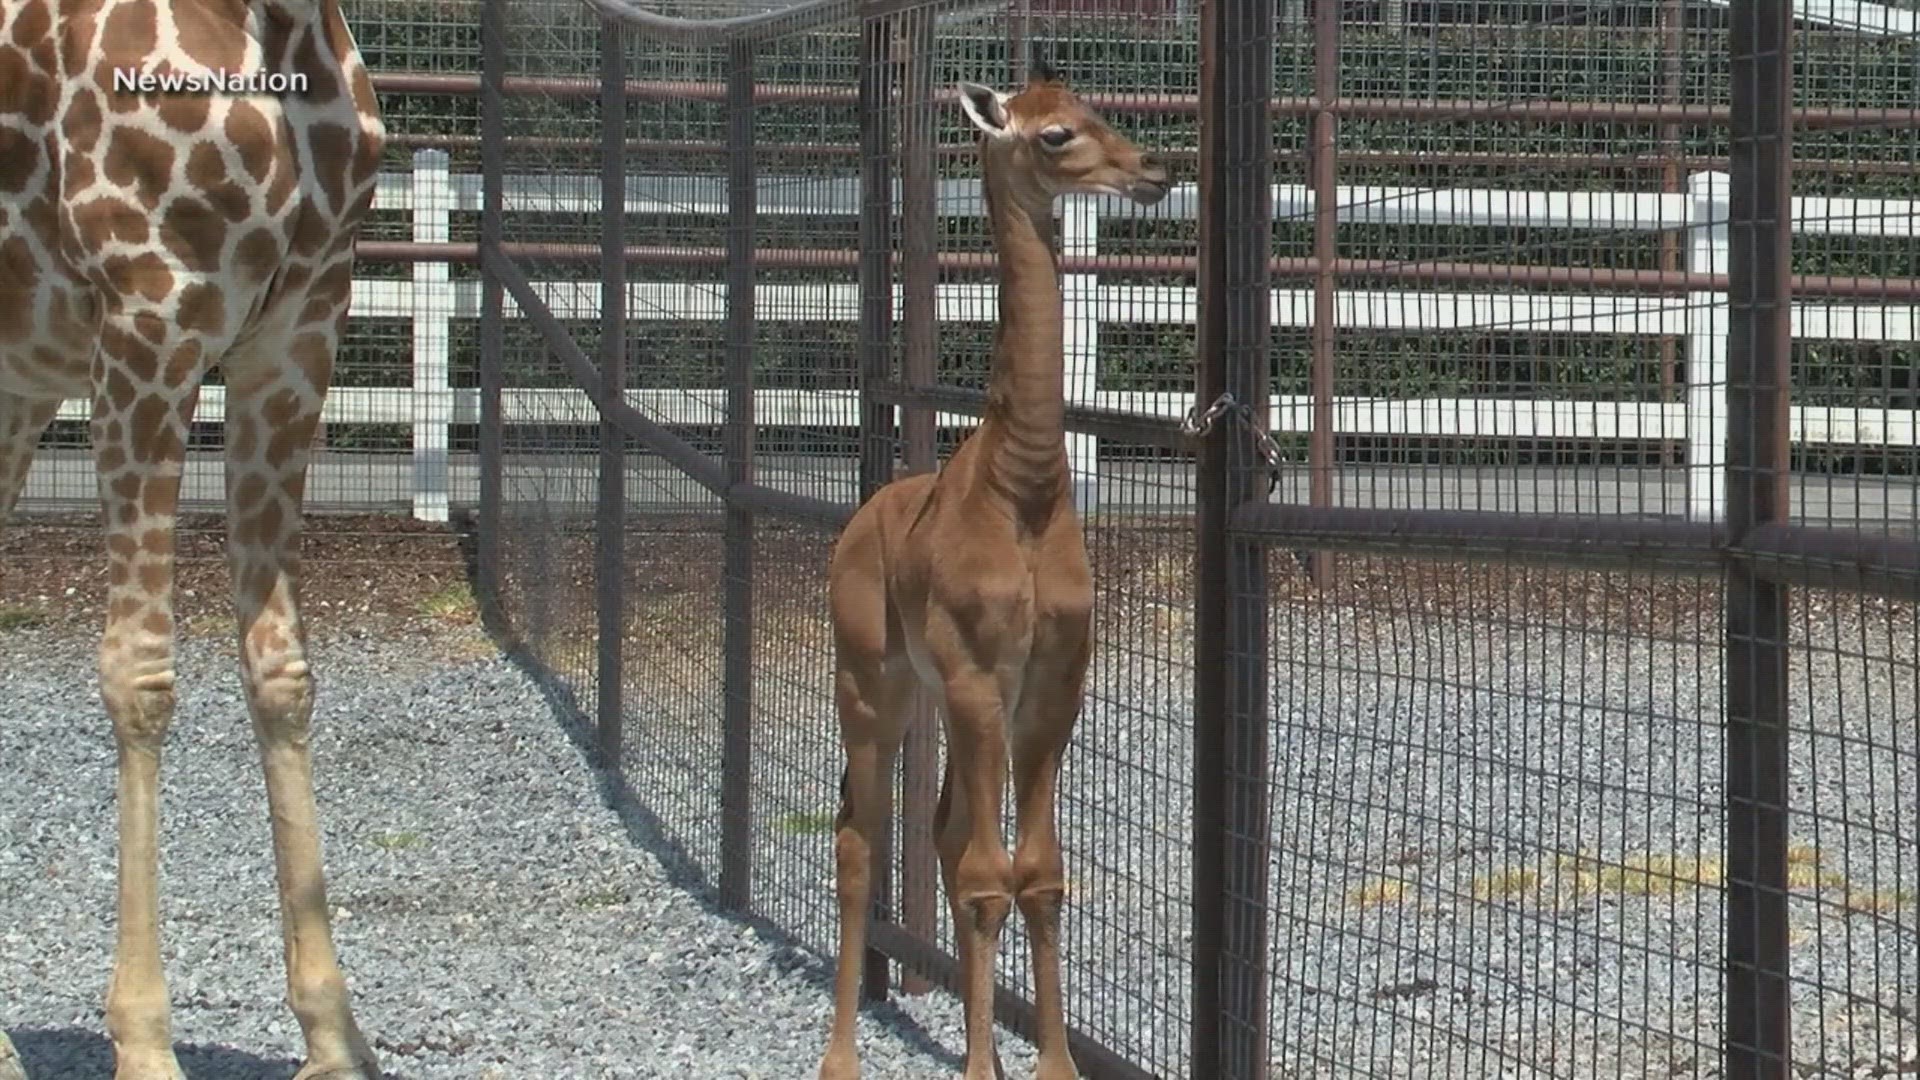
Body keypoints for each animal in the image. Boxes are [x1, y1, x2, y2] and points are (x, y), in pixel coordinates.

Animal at [0, 0, 389, 1068]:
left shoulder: (297, 332)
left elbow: (280, 666)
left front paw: (333, 1038)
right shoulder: (147, 321)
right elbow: (139, 671)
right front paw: (143, 1044)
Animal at [814, 67, 1159, 1076]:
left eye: (1093, 111)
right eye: (1053, 135)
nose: (1151, 171)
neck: (1027, 489)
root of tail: (858, 524)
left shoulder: (1051, 679)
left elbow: (1035, 874)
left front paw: (1048, 1063)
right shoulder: (974, 673)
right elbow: (984, 875)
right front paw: (981, 1064)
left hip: (941, 699)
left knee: (939, 832)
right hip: (872, 681)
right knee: (861, 838)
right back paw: (840, 1055)